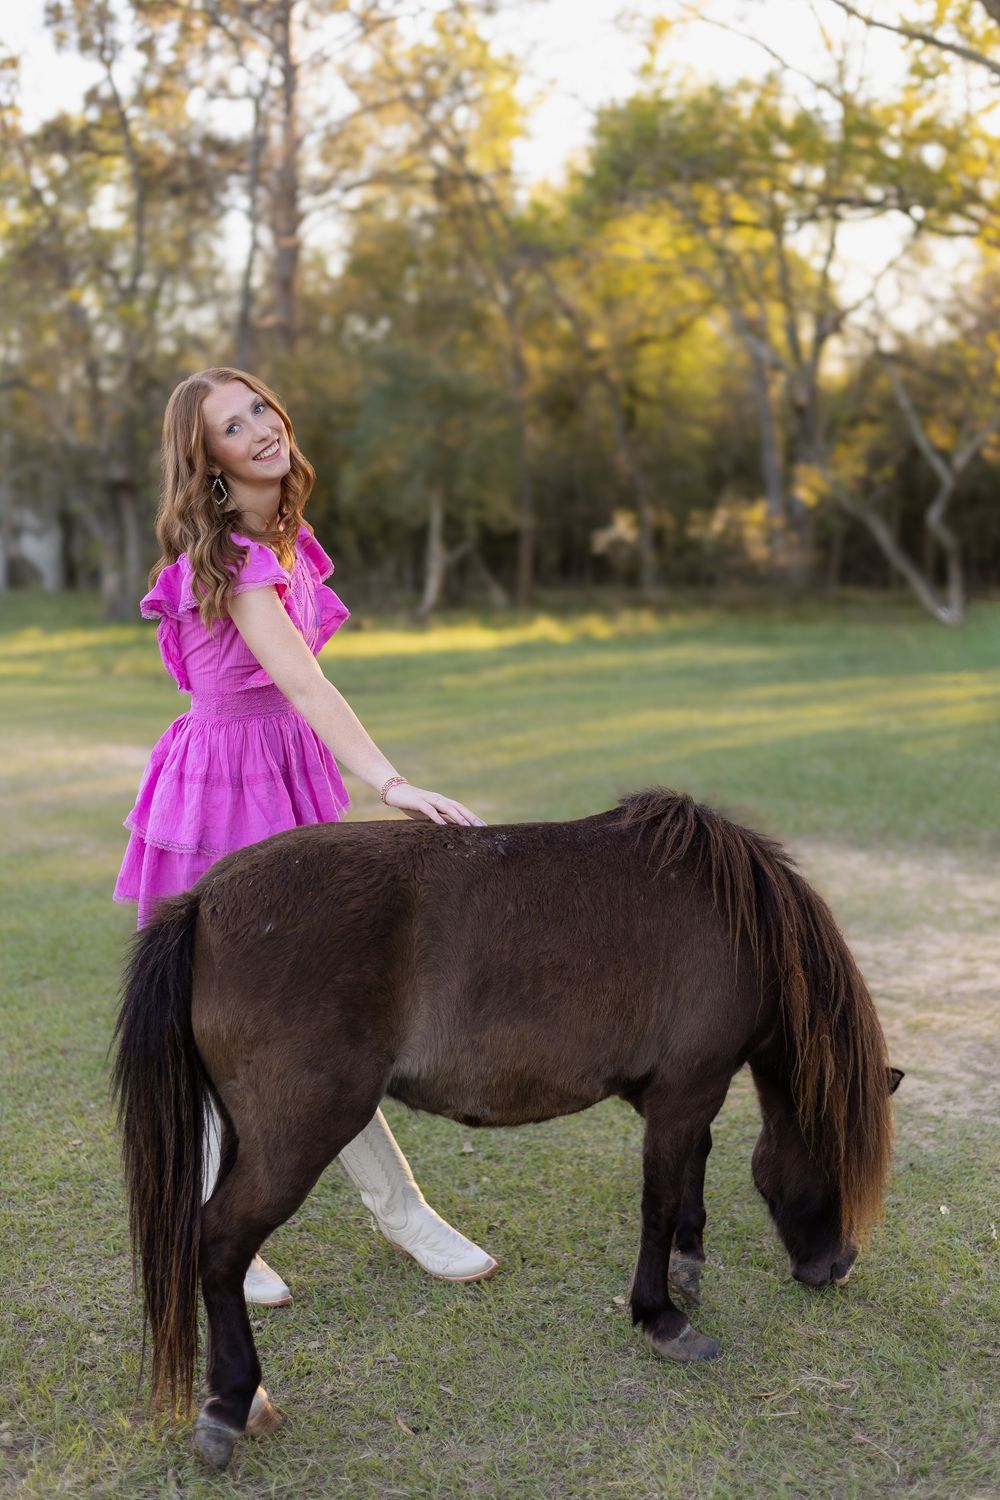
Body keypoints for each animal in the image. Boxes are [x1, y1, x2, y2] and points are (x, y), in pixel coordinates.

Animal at [112, 789, 900, 1471]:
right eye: (840, 1159)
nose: (838, 1265)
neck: (737, 922)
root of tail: (204, 902)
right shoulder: (687, 1088)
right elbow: (658, 1199)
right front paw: (661, 1317)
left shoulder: (680, 1097)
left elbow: (691, 1169)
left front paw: (689, 1262)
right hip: (299, 1135)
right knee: (219, 1241)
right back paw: (231, 1403)